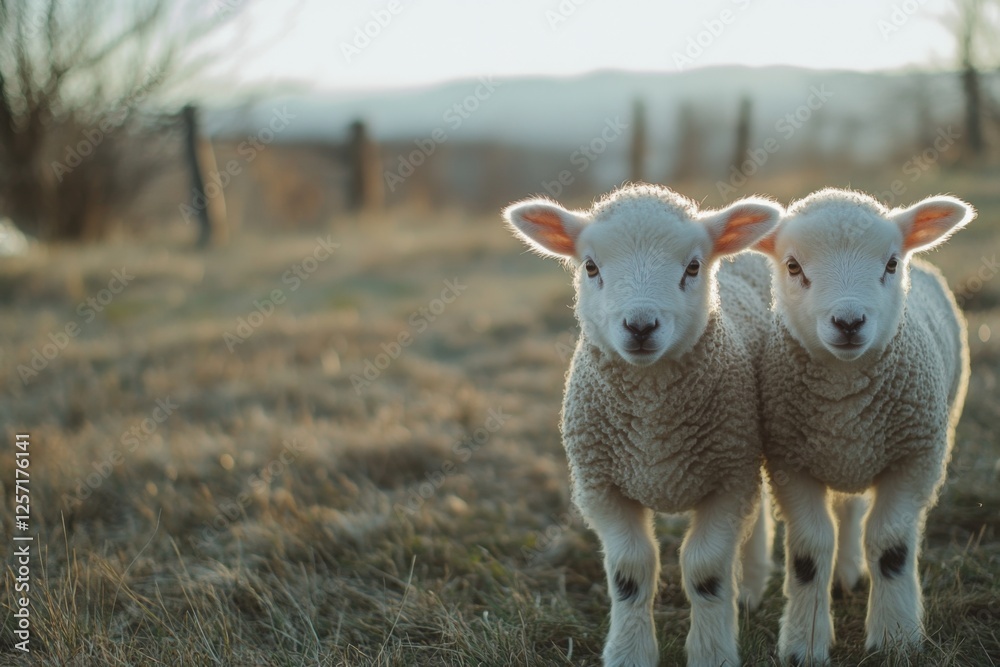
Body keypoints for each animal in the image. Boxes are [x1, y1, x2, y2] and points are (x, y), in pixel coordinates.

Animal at [504, 184, 782, 667]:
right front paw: (629, 652)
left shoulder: (728, 479)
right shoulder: (600, 487)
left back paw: (749, 585)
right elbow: (630, 570)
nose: (639, 326)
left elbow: (706, 569)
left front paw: (712, 651)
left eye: (692, 267)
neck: (654, 428)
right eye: (591, 266)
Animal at [754, 188, 974, 664]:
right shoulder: (790, 463)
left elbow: (890, 544)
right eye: (793, 266)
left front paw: (896, 638)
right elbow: (810, 549)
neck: (845, 401)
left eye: (891, 264)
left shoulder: (916, 457)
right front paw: (805, 643)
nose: (849, 322)